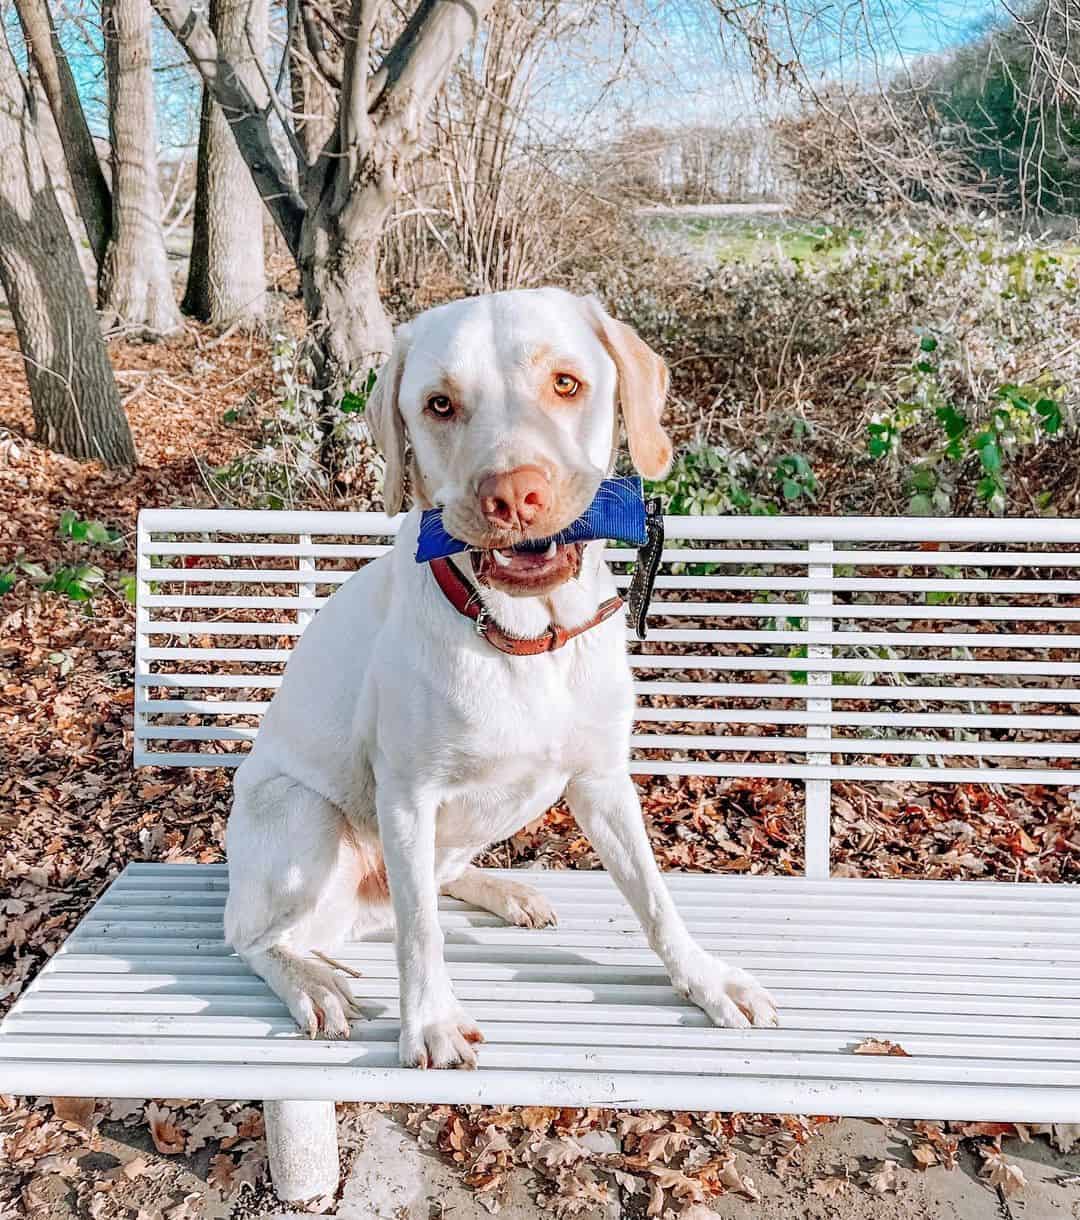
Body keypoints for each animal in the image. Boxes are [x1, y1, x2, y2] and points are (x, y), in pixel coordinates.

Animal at [225, 287, 776, 1068]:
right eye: (439, 404)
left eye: (566, 383)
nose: (513, 497)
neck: (528, 638)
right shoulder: (407, 798)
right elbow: (421, 930)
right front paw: (431, 1020)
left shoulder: (604, 782)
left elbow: (654, 897)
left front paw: (704, 978)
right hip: (304, 815)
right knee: (257, 937)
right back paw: (310, 982)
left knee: (433, 880)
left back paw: (505, 892)